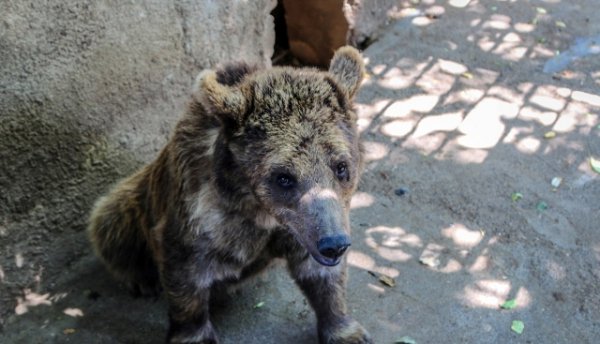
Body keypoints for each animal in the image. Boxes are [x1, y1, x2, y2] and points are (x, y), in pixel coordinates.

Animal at [88, 46, 370, 344]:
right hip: (134, 201)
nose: (333, 244)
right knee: (111, 219)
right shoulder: (200, 218)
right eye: (284, 177)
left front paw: (344, 329)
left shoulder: (304, 227)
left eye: (341, 167)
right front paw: (194, 334)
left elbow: (321, 276)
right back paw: (140, 279)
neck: (259, 209)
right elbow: (187, 274)